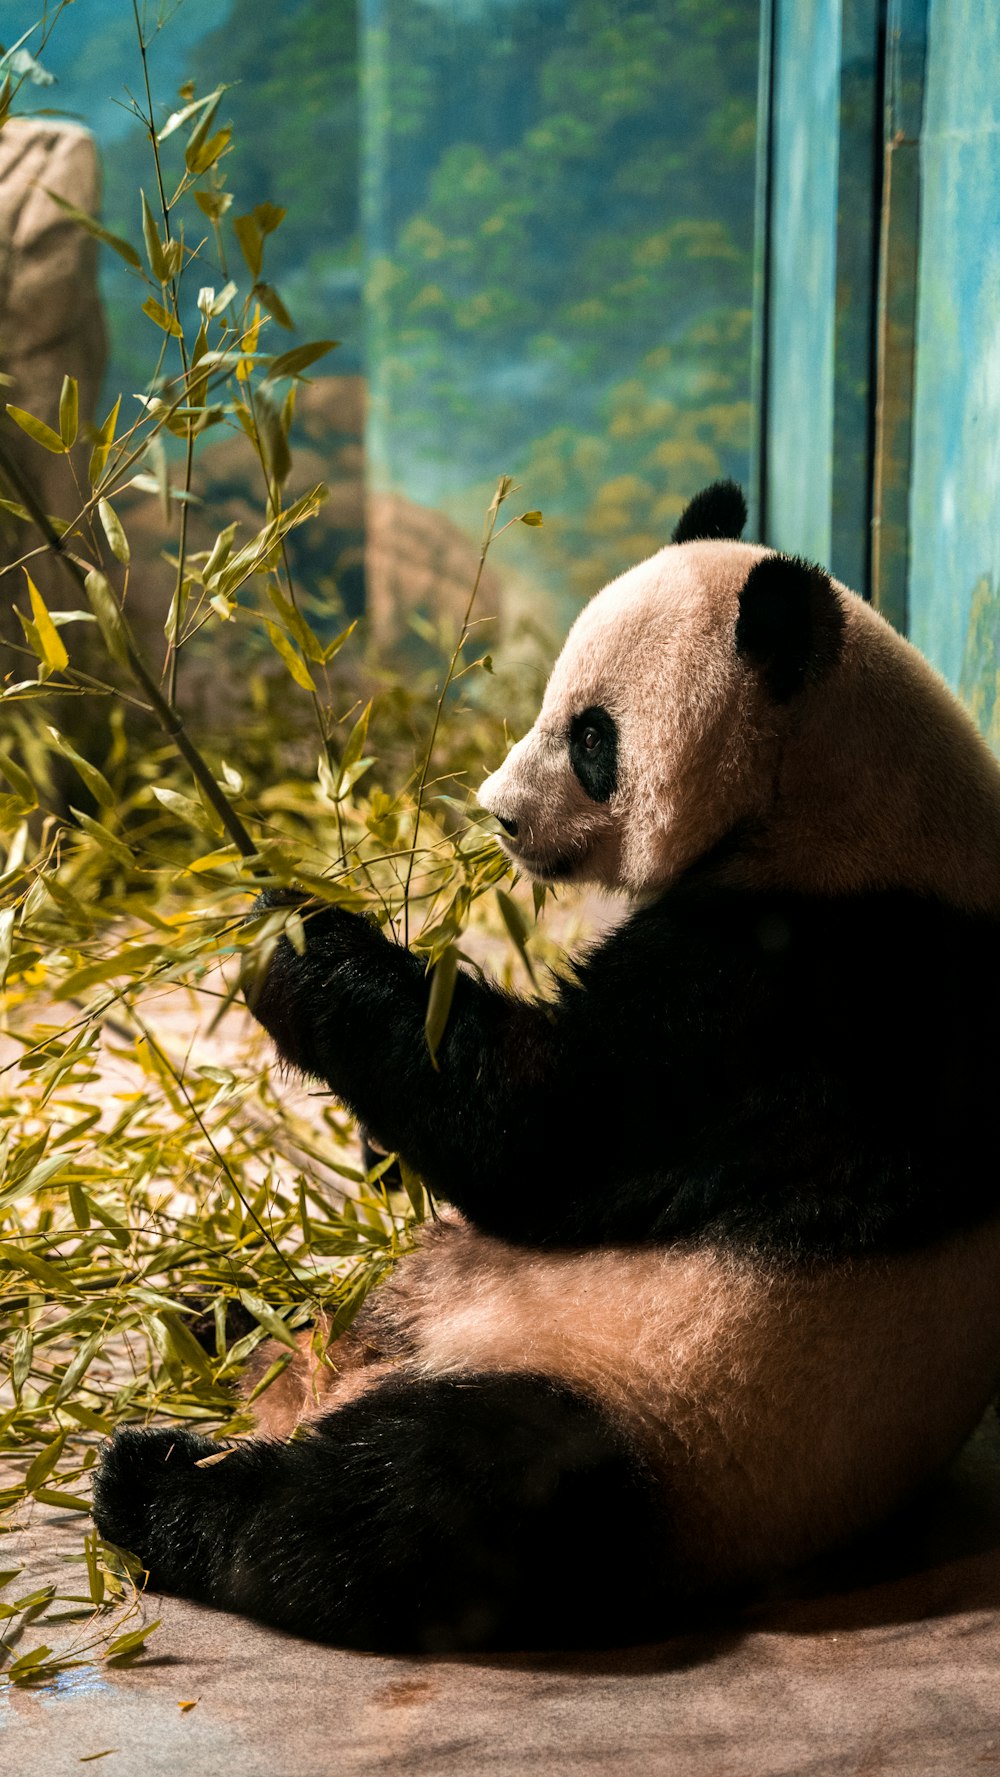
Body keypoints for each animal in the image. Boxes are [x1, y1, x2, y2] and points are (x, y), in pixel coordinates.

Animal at [94, 483, 1000, 1649]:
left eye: (592, 738)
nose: (497, 813)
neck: (841, 801)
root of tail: (321, 1381)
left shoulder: (826, 988)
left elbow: (549, 1130)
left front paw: (294, 936)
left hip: (664, 1419)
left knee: (425, 1498)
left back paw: (159, 1480)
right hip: (385, 1300)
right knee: (290, 1306)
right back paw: (201, 1320)